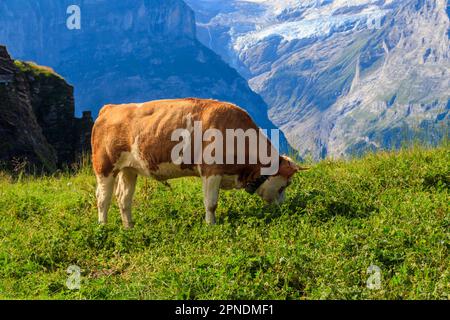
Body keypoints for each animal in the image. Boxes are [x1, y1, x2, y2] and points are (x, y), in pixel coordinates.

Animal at [91, 97, 302, 228]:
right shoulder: (211, 171)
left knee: (123, 198)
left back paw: (129, 227)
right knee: (103, 198)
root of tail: (111, 108)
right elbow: (211, 203)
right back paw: (103, 227)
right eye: (284, 186)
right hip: (104, 167)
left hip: (129, 169)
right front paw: (211, 225)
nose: (284, 209)